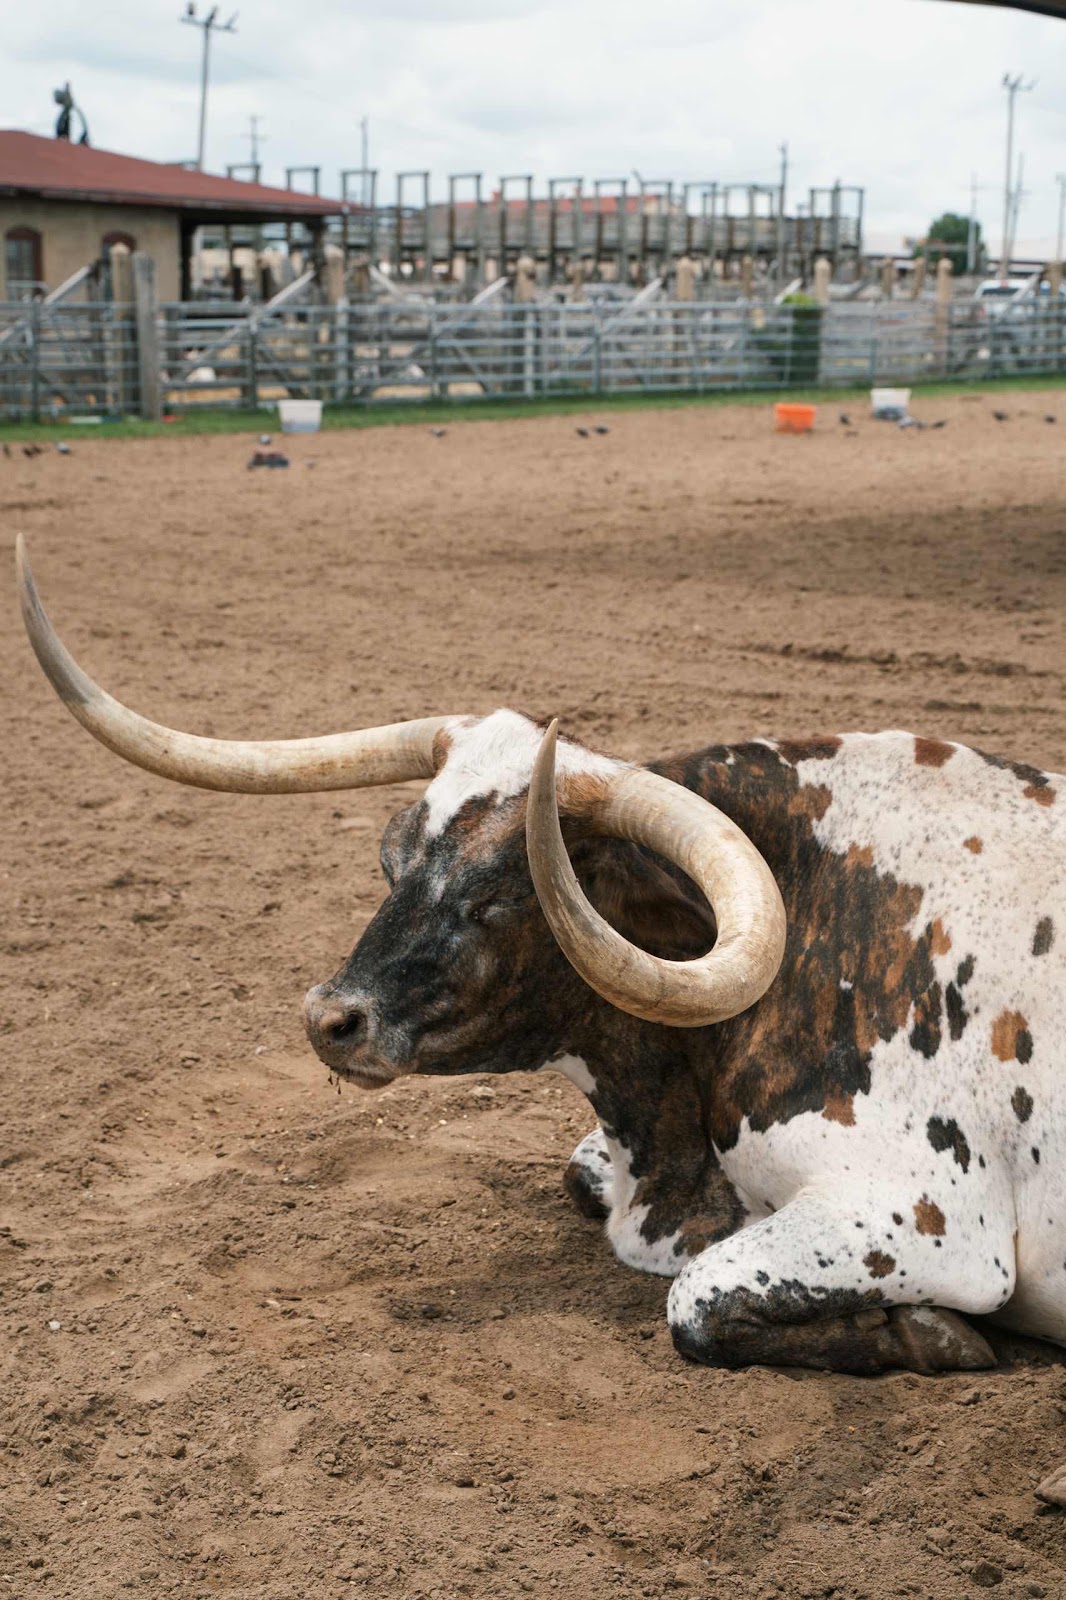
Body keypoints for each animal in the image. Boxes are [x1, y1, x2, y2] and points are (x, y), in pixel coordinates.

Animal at [16, 537, 1066, 1501]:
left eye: (498, 897)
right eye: (393, 863)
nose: (330, 1020)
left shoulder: (925, 1216)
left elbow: (694, 1299)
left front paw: (934, 1335)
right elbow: (584, 1181)